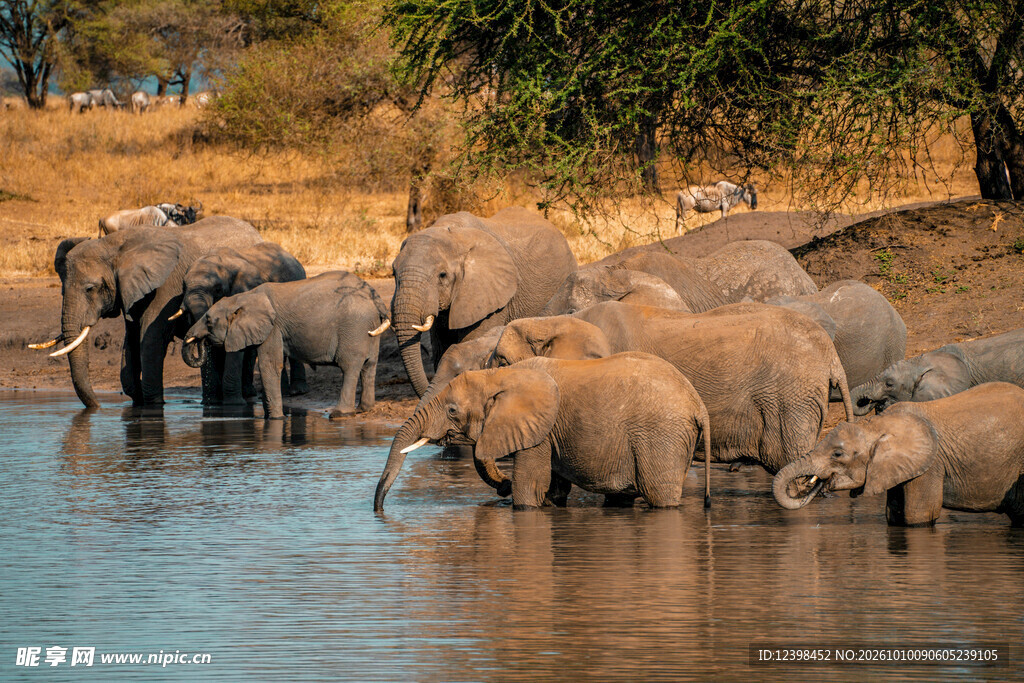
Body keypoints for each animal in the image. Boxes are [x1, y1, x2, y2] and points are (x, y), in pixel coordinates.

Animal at [32, 217, 262, 407]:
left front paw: (154, 404)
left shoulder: (167, 287)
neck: (113, 246)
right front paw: (139, 401)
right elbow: (132, 340)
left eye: (90, 289)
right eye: (62, 290)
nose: (98, 406)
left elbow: (150, 339)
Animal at [176, 242, 308, 405]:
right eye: (183, 286)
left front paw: (233, 404)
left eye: (217, 289)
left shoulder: (244, 291)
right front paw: (212, 403)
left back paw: (297, 391)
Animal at [184, 271, 391, 419]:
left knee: (350, 367)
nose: (200, 341)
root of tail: (375, 297)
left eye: (208, 321)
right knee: (369, 365)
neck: (245, 296)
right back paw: (364, 409)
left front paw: (276, 419)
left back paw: (340, 414)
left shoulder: (273, 328)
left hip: (354, 327)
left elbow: (270, 366)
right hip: (369, 328)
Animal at [375, 352, 712, 510]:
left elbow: (529, 490)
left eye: (452, 411)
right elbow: (553, 489)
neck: (499, 375)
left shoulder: (539, 431)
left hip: (662, 436)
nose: (378, 510)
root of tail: (699, 404)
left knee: (660, 495)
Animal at [773, 382, 1024, 526]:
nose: (816, 488)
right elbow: (893, 513)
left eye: (837, 454)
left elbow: (918, 515)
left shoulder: (930, 465)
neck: (877, 425)